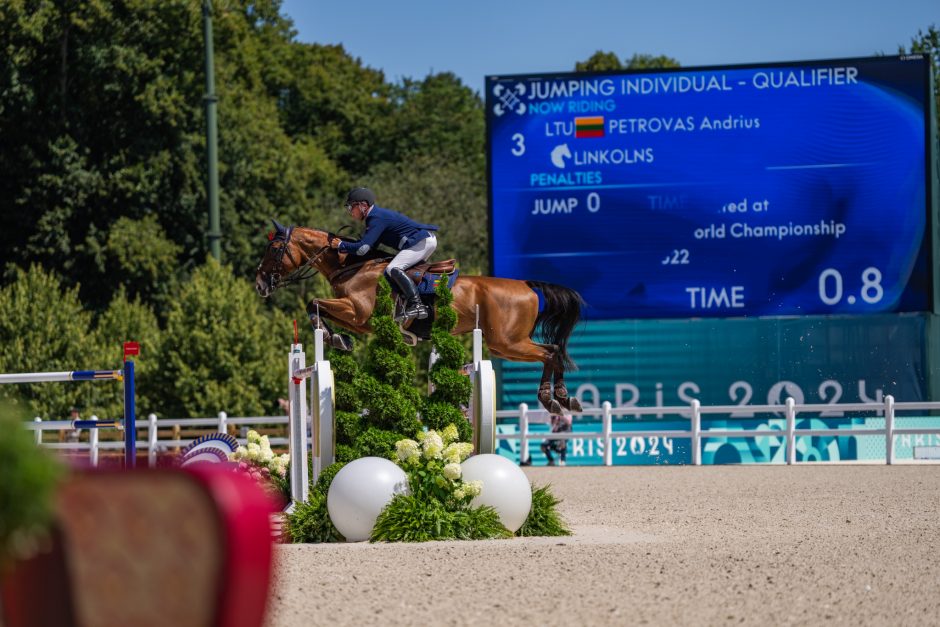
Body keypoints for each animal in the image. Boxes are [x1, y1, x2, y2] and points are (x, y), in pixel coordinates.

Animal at [253, 222, 584, 418]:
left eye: (274, 248)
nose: (259, 284)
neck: (352, 266)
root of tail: (527, 286)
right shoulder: (358, 319)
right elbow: (317, 306)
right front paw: (337, 337)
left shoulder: (358, 313)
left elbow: (315, 303)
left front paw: (333, 337)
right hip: (505, 344)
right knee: (553, 350)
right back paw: (563, 398)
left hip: (506, 342)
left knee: (550, 353)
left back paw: (553, 398)